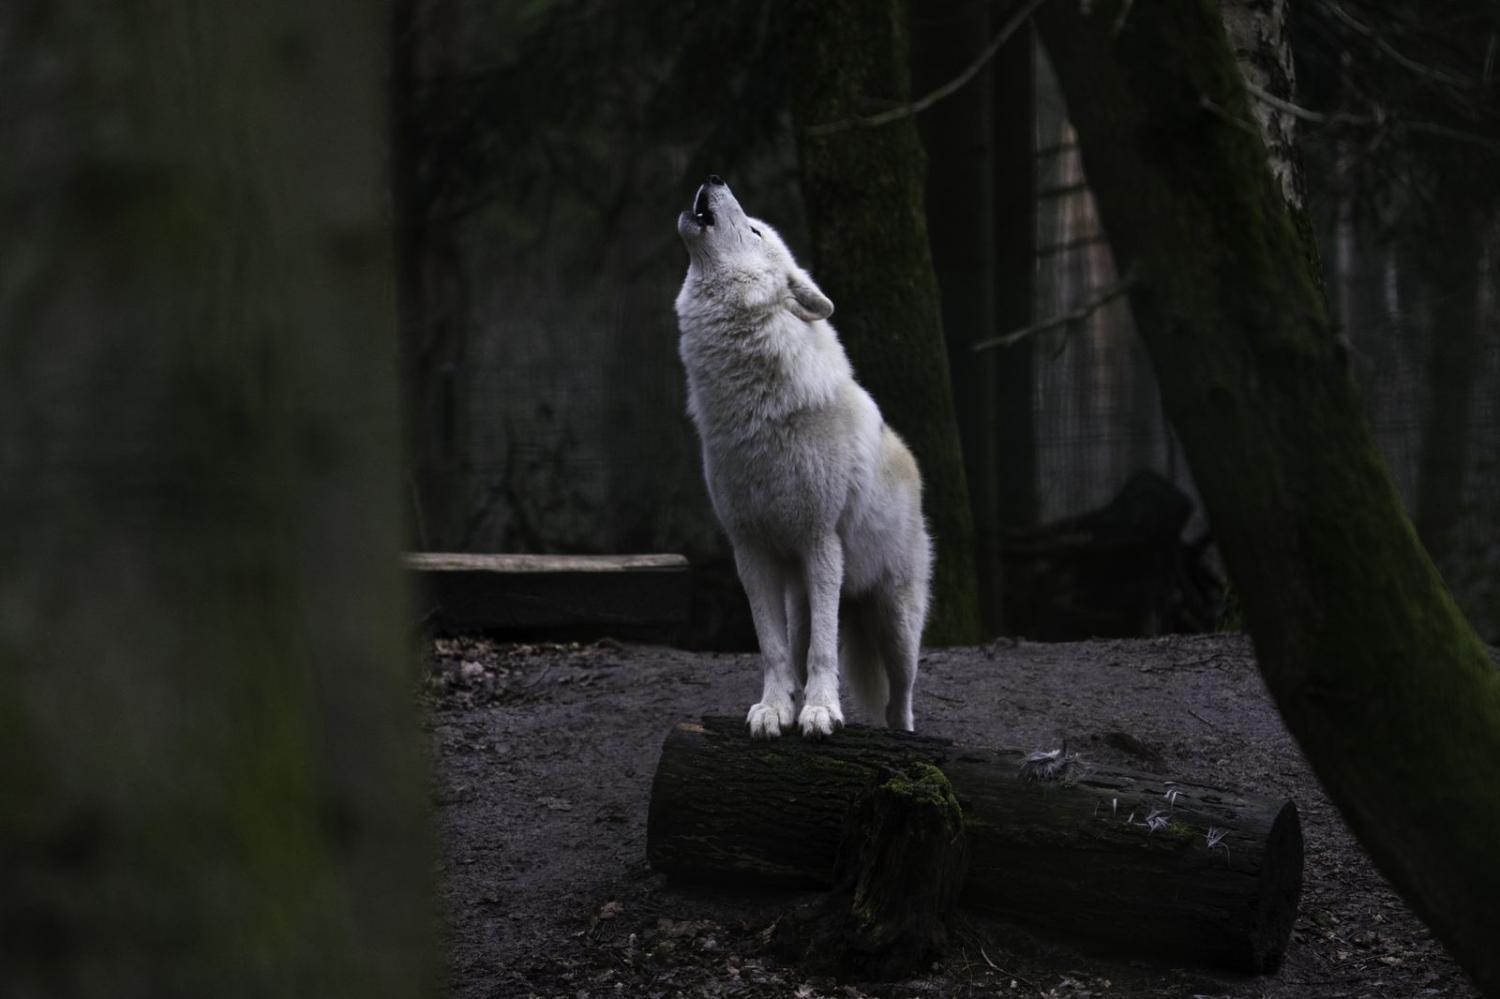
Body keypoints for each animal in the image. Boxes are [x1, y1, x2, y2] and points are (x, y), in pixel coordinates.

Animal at [678, 174, 930, 735]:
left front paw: (820, 711)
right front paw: (775, 710)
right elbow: (772, 649)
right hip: (802, 596)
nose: (713, 178)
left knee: (900, 698)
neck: (751, 407)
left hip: (896, 623)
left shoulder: (821, 541)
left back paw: (901, 734)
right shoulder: (750, 549)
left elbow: (823, 653)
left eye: (754, 230)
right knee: (798, 643)